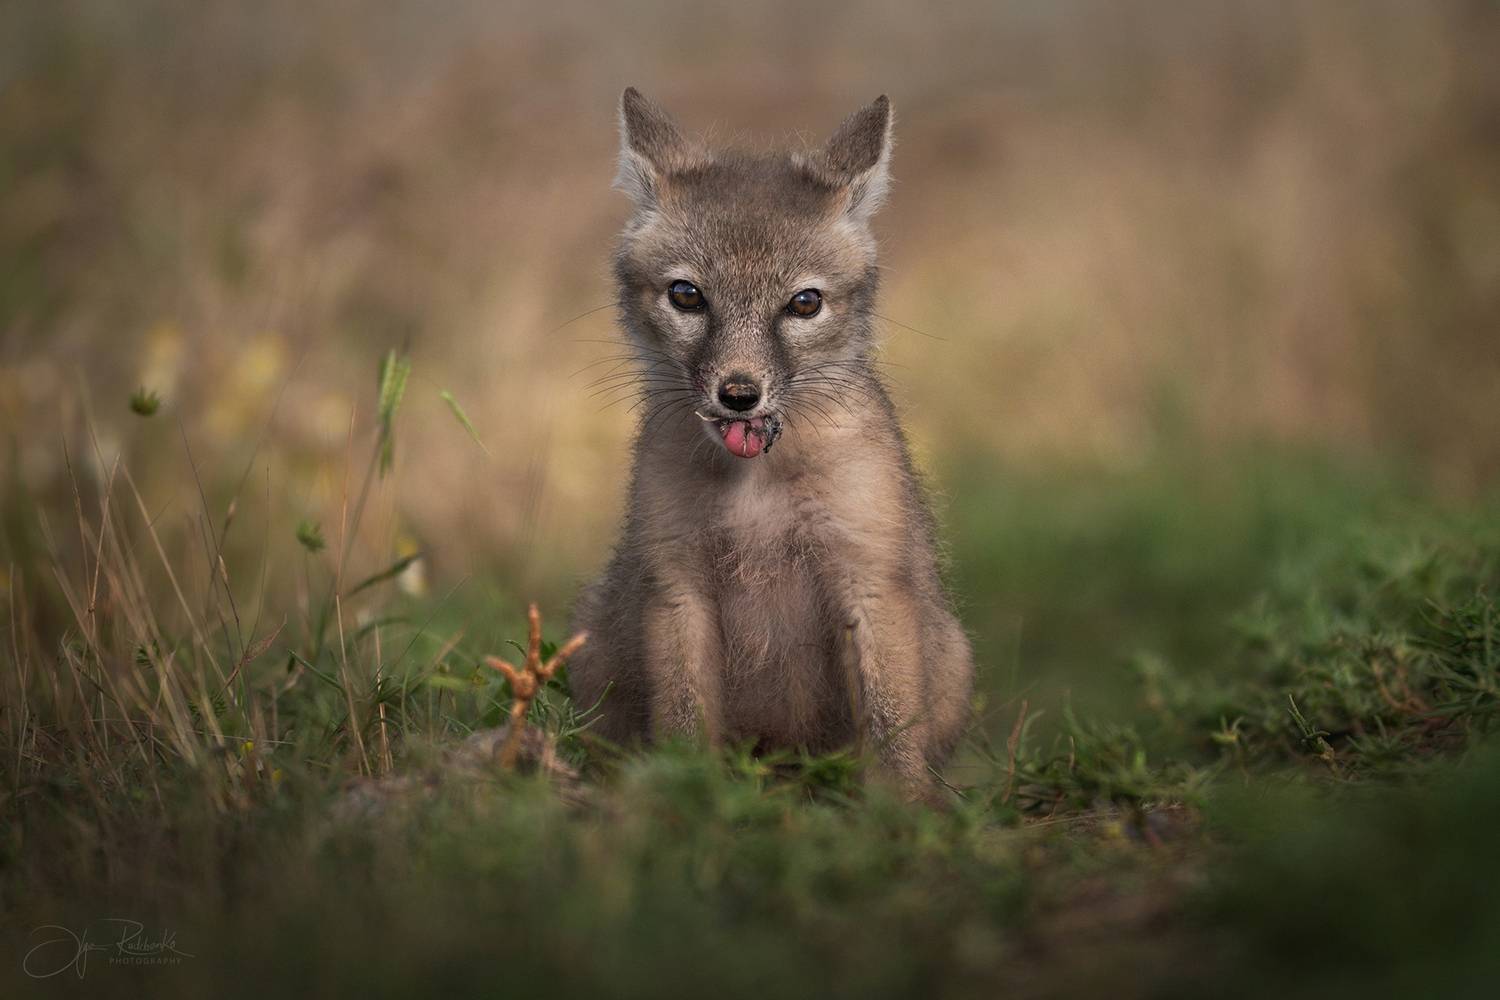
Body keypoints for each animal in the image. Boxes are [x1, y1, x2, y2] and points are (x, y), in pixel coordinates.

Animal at [568, 88, 975, 799]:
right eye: (686, 295)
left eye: (804, 304)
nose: (739, 394)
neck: (759, 497)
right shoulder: (677, 587)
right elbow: (684, 723)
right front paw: (688, 802)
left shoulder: (869, 582)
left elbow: (892, 726)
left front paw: (900, 815)